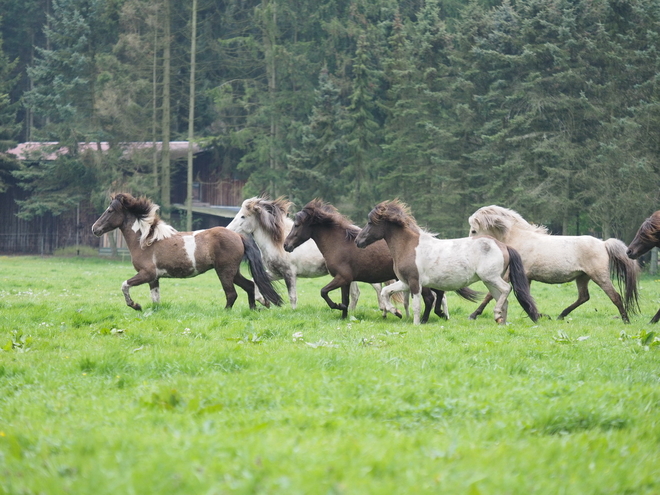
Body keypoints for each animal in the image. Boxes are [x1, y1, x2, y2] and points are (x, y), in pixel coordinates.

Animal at [90, 193, 282, 310]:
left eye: (110, 210)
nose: (95, 228)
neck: (145, 240)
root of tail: (238, 236)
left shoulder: (146, 274)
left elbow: (124, 285)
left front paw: (135, 305)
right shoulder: (154, 278)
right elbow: (155, 299)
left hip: (224, 271)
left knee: (231, 294)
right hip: (233, 272)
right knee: (249, 286)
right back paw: (253, 310)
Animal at [354, 200, 540, 328]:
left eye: (370, 223)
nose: (358, 241)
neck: (408, 245)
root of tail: (502, 245)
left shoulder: (415, 283)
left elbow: (416, 305)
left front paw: (416, 323)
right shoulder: (405, 282)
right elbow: (385, 292)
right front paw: (396, 312)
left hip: (491, 278)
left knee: (506, 290)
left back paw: (496, 315)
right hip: (490, 281)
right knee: (504, 299)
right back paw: (500, 321)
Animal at [466, 204, 636, 322]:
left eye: (474, 230)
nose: (468, 247)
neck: (519, 238)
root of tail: (603, 243)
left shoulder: (510, 274)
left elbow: (490, 295)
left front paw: (473, 314)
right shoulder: (526, 277)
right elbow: (525, 296)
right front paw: (538, 314)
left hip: (600, 276)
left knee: (615, 296)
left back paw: (626, 320)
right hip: (582, 277)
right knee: (583, 297)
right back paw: (561, 315)